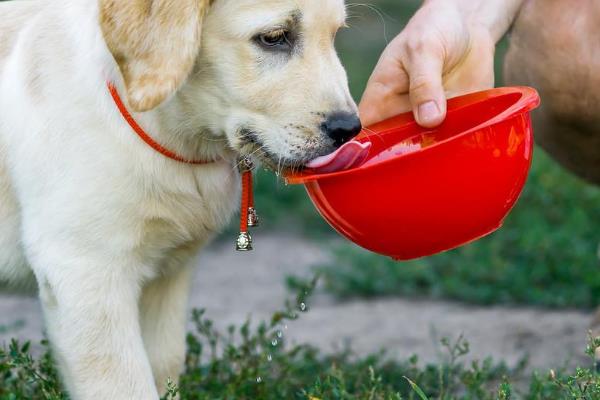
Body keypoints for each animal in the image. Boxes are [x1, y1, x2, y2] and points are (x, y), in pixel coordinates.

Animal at [0, 0, 360, 396]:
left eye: (335, 35)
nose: (349, 129)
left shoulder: (168, 272)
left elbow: (165, 364)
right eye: (274, 37)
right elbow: (125, 384)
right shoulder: (84, 270)